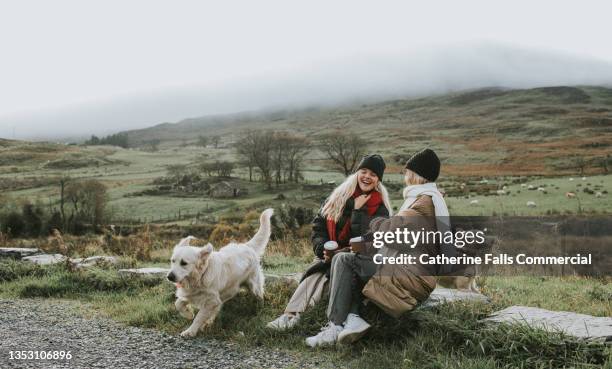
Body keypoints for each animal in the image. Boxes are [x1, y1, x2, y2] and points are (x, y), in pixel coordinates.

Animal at [167, 207, 272, 336]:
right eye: (173, 261)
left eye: (184, 263)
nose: (169, 276)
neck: (200, 277)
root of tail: (247, 246)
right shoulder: (192, 294)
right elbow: (178, 304)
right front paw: (188, 314)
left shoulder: (211, 301)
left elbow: (199, 317)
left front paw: (190, 331)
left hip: (254, 285)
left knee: (260, 295)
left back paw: (259, 307)